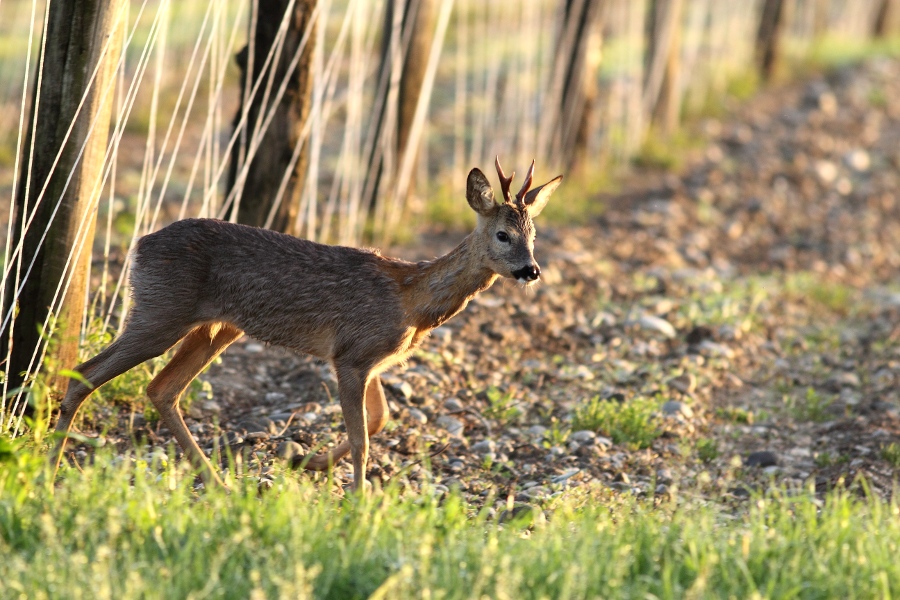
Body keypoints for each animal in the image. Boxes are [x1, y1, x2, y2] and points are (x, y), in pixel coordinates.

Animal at [49, 159, 564, 492]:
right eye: (503, 234)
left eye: (535, 235)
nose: (531, 270)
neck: (411, 300)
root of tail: (138, 246)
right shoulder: (351, 354)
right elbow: (361, 439)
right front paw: (357, 501)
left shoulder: (371, 360)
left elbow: (380, 419)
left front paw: (308, 461)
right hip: (160, 309)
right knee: (87, 373)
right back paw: (49, 465)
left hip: (216, 328)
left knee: (161, 388)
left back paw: (216, 482)